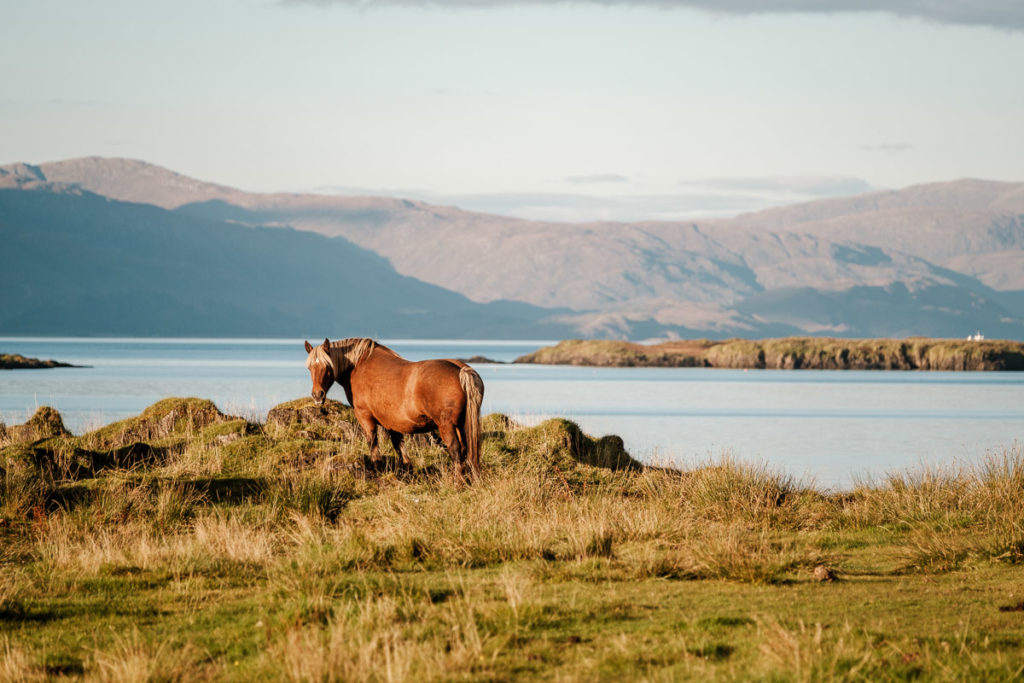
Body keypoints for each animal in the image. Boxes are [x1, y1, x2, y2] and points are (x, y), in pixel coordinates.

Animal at [301, 337, 485, 479]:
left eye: (327, 366)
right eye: (310, 367)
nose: (317, 395)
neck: (358, 366)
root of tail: (461, 370)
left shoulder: (365, 417)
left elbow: (373, 444)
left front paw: (378, 469)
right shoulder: (392, 422)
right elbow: (399, 446)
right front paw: (408, 471)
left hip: (447, 426)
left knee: (456, 450)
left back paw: (458, 483)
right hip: (462, 425)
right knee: (468, 450)